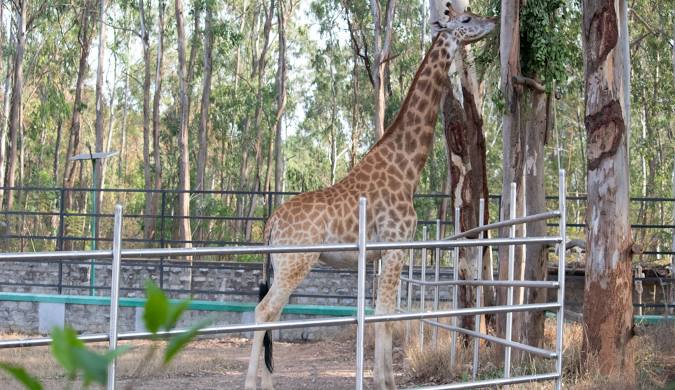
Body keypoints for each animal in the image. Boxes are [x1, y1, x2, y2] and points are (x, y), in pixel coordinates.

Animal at [247, 3, 496, 390]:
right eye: (467, 19)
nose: (494, 22)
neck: (407, 167)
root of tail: (270, 223)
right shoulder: (395, 247)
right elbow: (385, 316)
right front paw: (385, 382)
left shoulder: (383, 254)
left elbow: (384, 314)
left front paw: (383, 379)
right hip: (295, 262)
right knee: (264, 311)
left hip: (281, 264)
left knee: (270, 313)